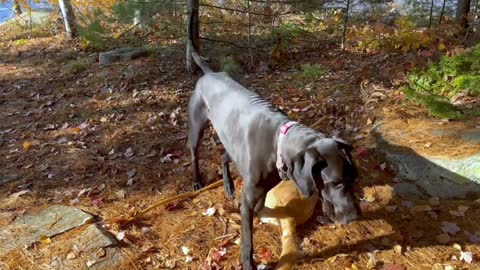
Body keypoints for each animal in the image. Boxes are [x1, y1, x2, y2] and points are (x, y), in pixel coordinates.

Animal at [188, 25, 360, 270]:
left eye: (354, 179)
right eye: (335, 182)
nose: (355, 217)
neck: (277, 143)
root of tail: (210, 73)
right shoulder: (249, 199)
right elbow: (247, 240)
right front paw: (248, 263)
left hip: (233, 141)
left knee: (223, 155)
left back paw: (228, 185)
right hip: (196, 127)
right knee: (194, 152)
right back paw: (196, 181)